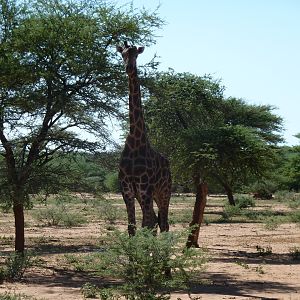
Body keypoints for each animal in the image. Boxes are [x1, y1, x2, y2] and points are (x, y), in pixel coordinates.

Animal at [116, 42, 170, 236]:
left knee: (163, 223)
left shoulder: (145, 187)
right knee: (155, 221)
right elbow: (132, 227)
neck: (134, 140)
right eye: (123, 54)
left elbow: (146, 224)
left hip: (163, 191)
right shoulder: (127, 189)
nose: (129, 68)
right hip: (145, 194)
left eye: (136, 54)